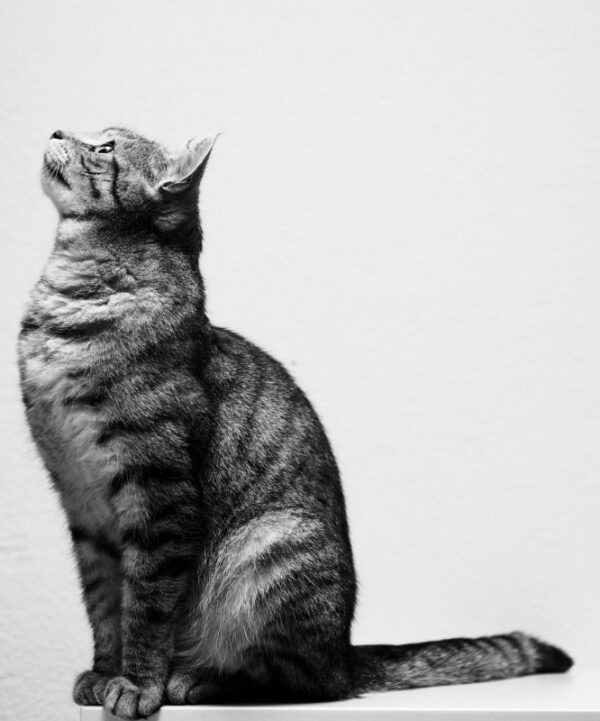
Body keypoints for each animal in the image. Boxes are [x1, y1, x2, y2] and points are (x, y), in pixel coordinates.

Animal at [17, 128, 572, 720]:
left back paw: (196, 679)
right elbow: (104, 606)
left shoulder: (159, 494)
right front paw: (104, 673)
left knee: (301, 682)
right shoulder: (82, 505)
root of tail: (344, 655)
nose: (56, 131)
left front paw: (138, 683)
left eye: (105, 147)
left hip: (268, 552)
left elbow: (146, 605)